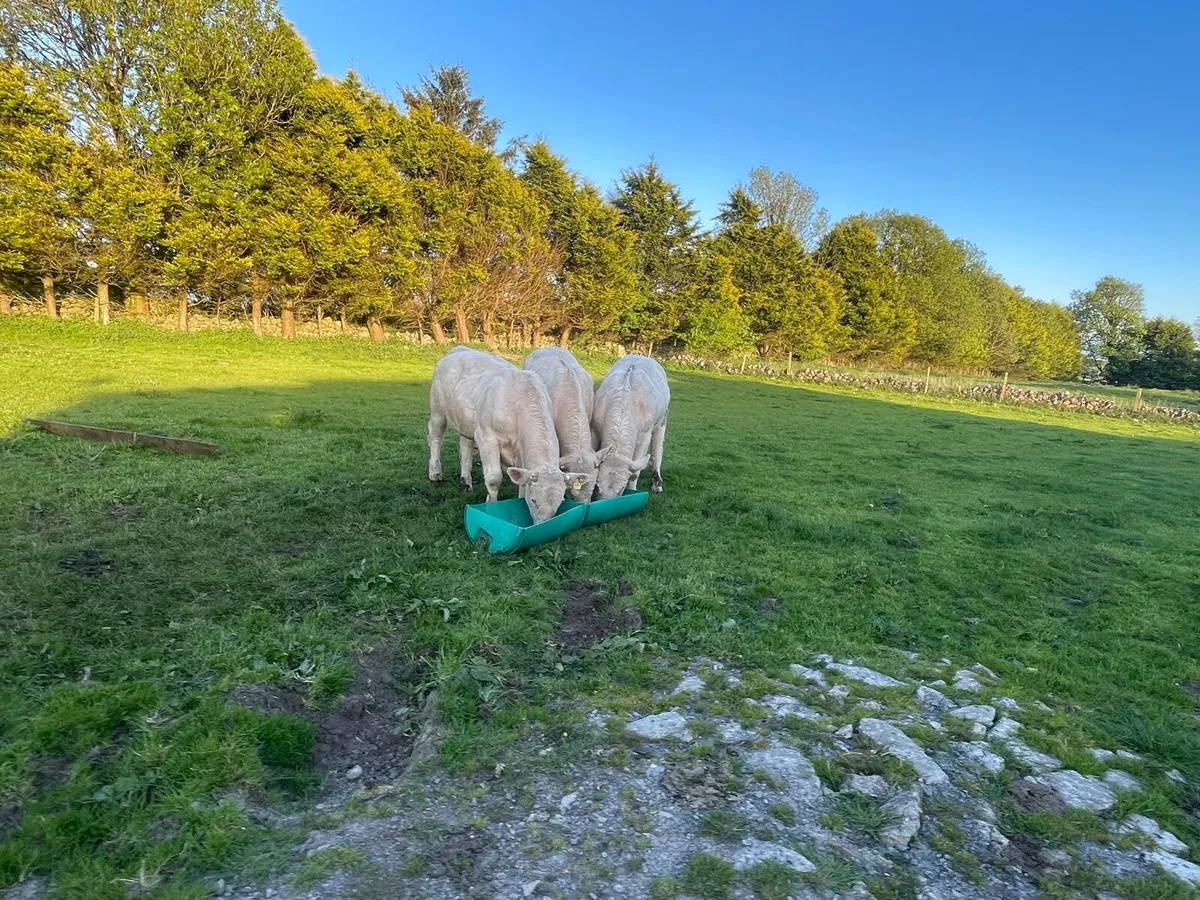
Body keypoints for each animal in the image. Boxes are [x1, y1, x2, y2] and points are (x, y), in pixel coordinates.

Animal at [428, 347, 586, 523]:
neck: (518, 407)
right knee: (435, 437)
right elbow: (494, 478)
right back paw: (435, 474)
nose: (541, 525)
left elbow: (522, 483)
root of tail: (457, 349)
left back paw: (465, 482)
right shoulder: (486, 437)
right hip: (438, 410)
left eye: (559, 503)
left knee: (465, 447)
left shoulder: (519, 449)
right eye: (534, 500)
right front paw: (491, 507)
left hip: (467, 423)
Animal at [591, 355, 670, 500]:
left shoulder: (645, 436)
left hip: (662, 419)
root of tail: (641, 355)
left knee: (657, 450)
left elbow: (635, 473)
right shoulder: (594, 428)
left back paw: (657, 483)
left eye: (622, 488)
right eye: (597, 486)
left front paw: (632, 490)